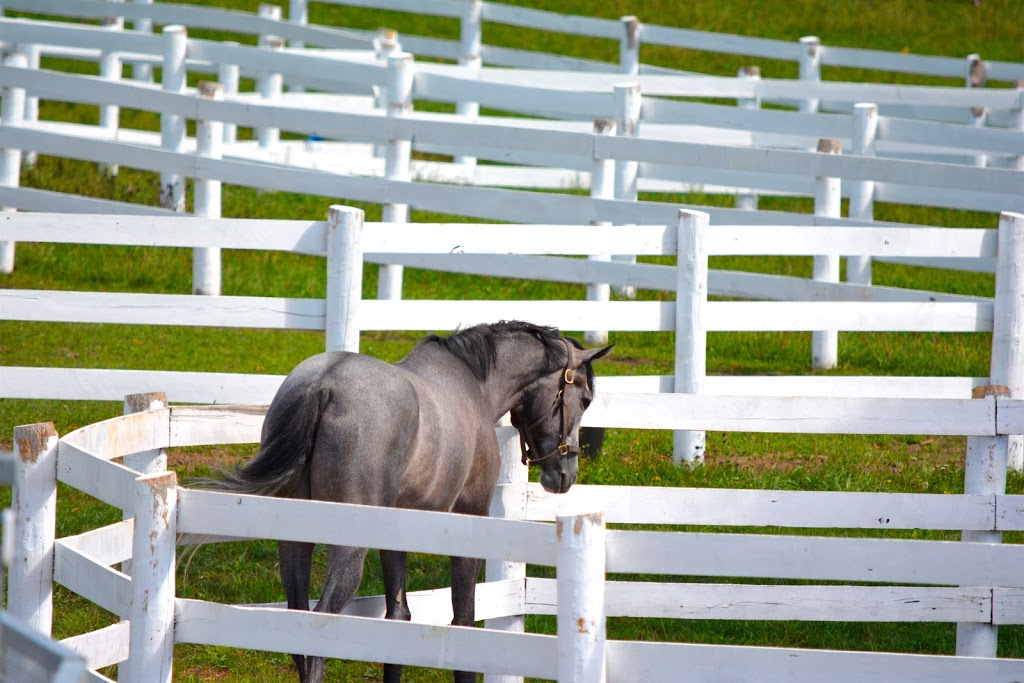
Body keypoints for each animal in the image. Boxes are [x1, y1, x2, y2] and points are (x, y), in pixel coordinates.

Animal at [203, 321, 610, 683]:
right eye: (585, 399)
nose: (565, 474)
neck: (473, 384)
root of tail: (322, 385)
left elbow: (398, 619)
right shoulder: (468, 522)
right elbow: (463, 620)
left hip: (293, 544)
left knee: (296, 628)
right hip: (347, 552)